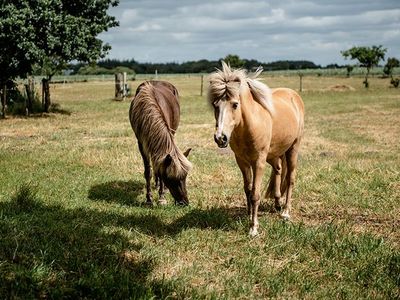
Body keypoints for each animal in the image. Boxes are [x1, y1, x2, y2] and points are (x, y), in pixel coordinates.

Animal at [208, 62, 304, 237]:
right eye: (215, 105)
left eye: (235, 104)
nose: (220, 138)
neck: (249, 125)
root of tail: (293, 95)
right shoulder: (242, 161)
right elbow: (248, 189)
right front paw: (248, 215)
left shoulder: (258, 162)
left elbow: (255, 194)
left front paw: (253, 228)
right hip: (274, 154)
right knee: (279, 170)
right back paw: (277, 204)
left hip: (293, 148)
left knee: (290, 178)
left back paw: (286, 212)